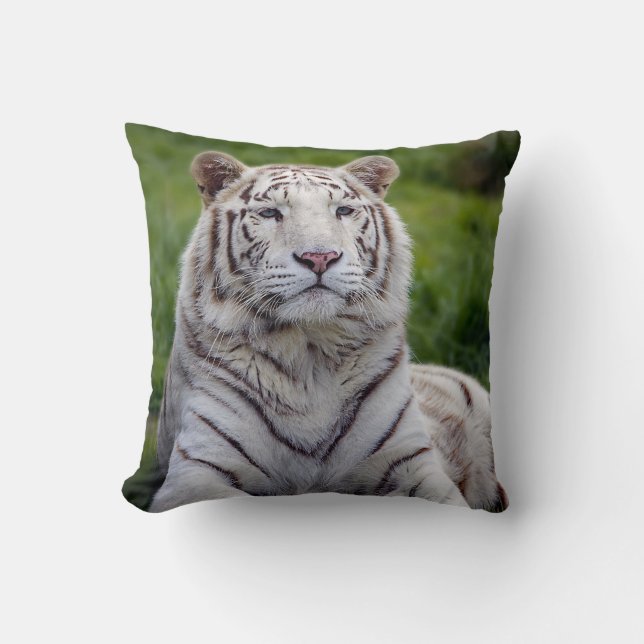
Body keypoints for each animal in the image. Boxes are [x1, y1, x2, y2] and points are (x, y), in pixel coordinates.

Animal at [148, 150, 508, 513]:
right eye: (270, 213)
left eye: (343, 211)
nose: (320, 257)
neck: (309, 355)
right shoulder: (195, 472)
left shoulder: (412, 460)